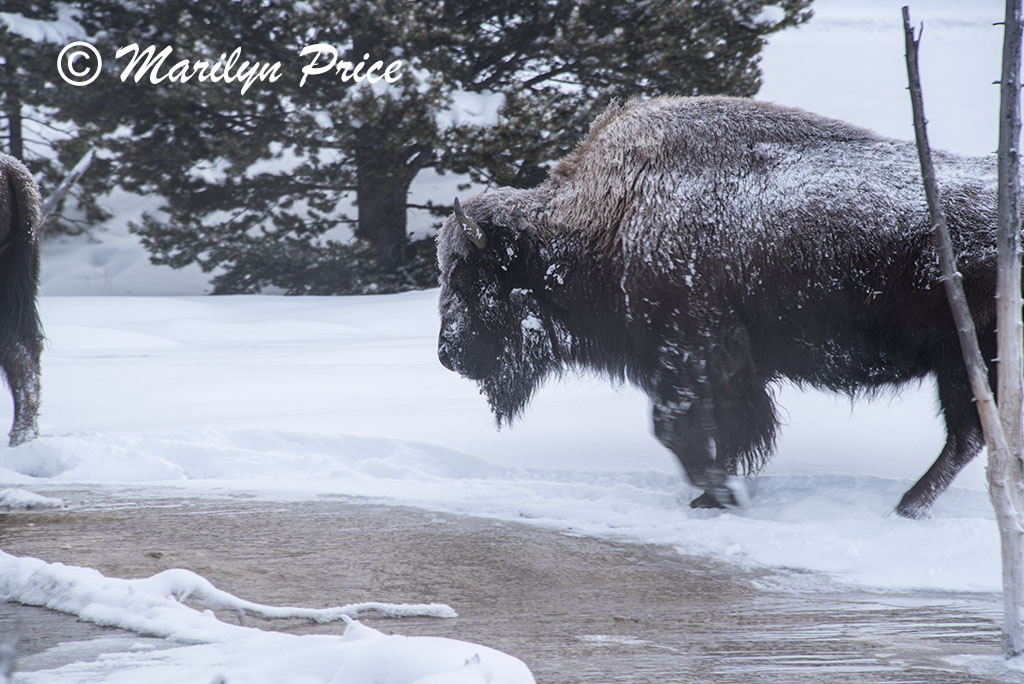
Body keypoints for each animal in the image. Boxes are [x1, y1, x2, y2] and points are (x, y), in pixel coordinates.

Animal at [436, 96, 1001, 519]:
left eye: (467, 277)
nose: (447, 354)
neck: (612, 218)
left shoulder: (690, 355)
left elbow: (674, 427)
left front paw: (720, 493)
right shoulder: (723, 369)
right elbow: (724, 427)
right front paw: (717, 492)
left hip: (964, 360)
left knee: (966, 436)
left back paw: (906, 507)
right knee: (969, 437)